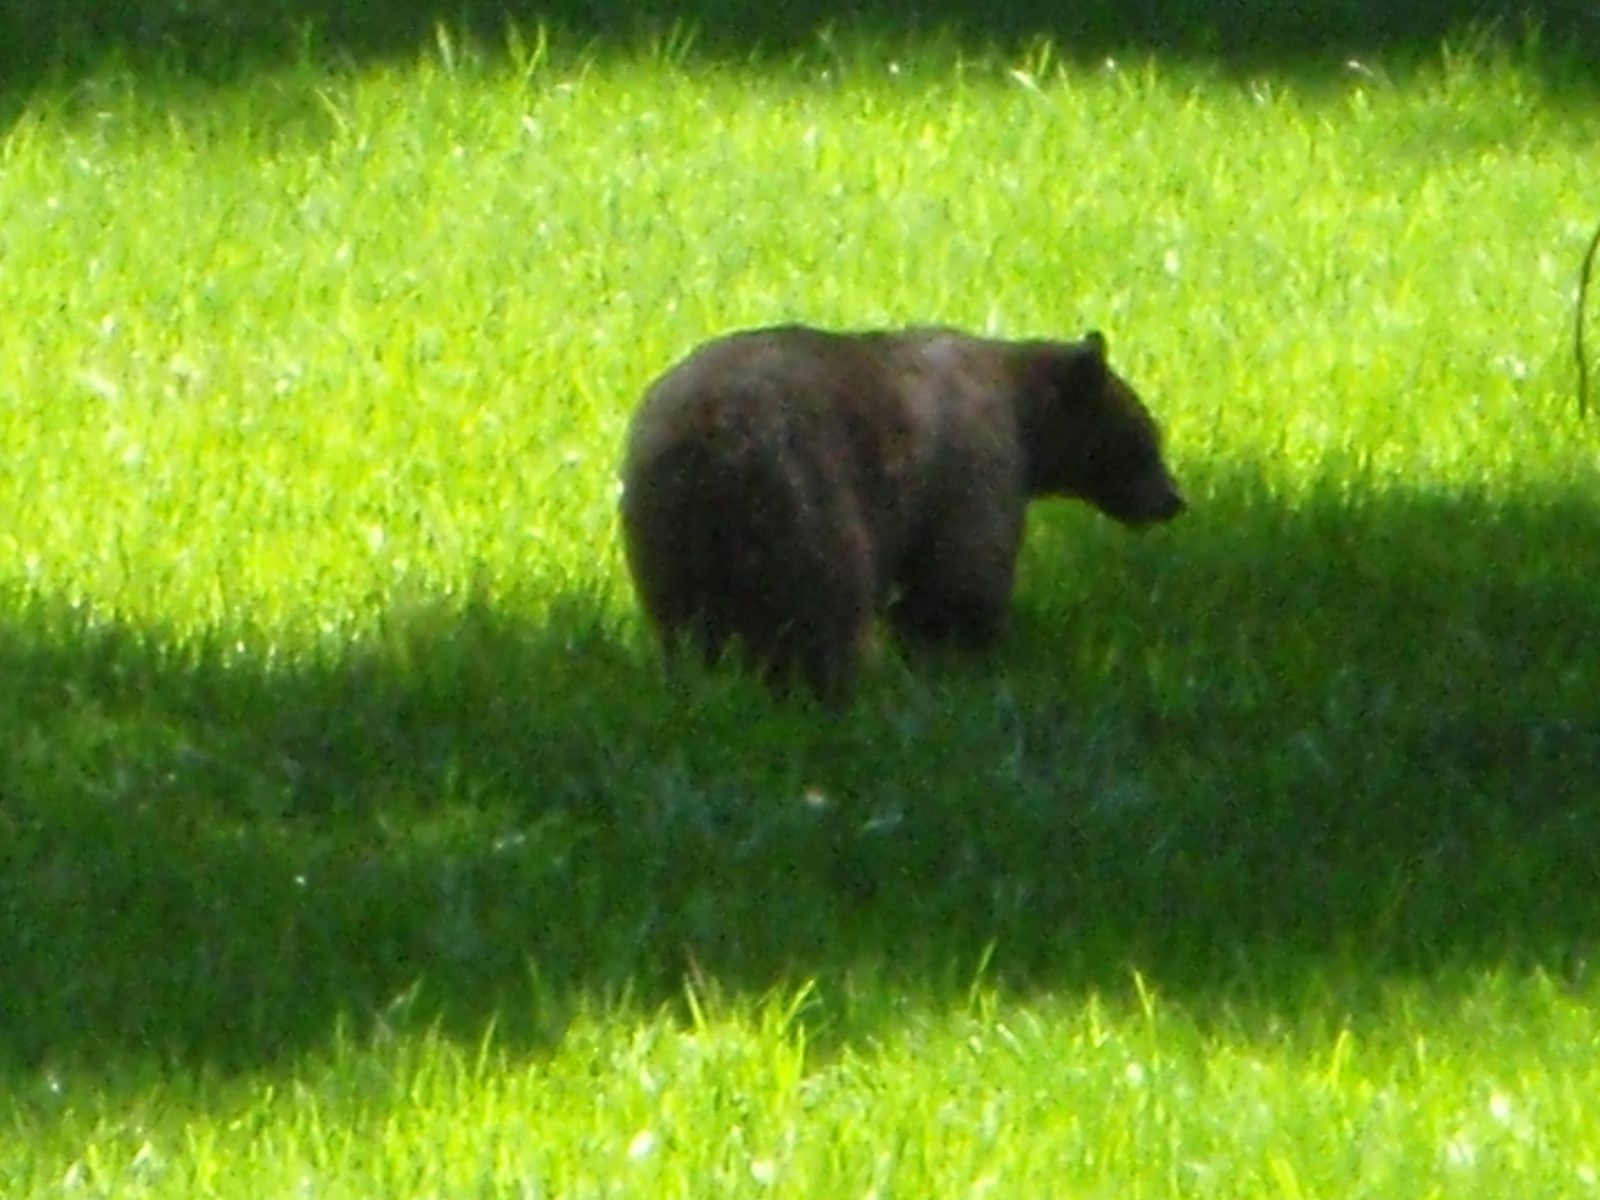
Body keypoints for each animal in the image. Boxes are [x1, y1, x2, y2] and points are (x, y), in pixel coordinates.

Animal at [618, 323, 1184, 708]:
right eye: (1146, 435)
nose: (1174, 500)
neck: (1021, 412)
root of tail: (707, 439)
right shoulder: (974, 468)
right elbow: (960, 579)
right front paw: (972, 660)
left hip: (665, 537)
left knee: (685, 627)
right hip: (807, 502)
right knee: (827, 610)